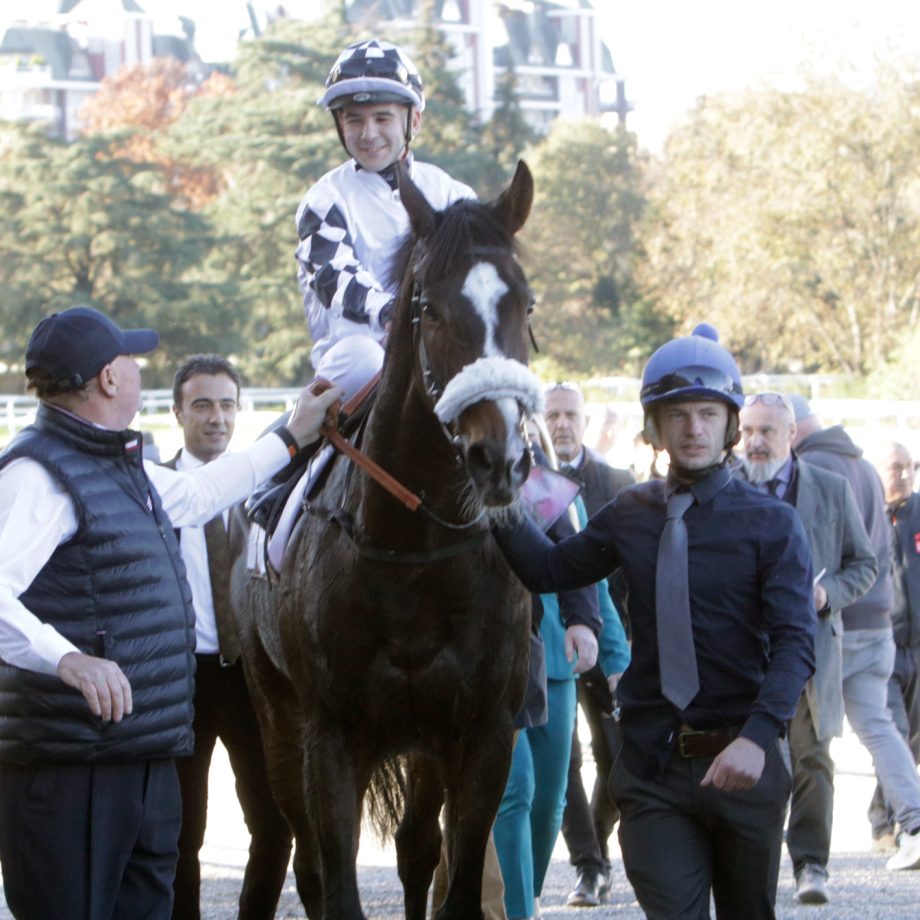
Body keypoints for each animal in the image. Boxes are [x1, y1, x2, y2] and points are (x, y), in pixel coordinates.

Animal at [235, 162, 540, 916]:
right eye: (428, 309)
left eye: (524, 305)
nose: (498, 459)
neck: (414, 550)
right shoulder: (330, 735)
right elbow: (336, 880)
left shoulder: (481, 731)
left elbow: (452, 879)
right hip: (276, 719)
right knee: (309, 861)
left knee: (414, 849)